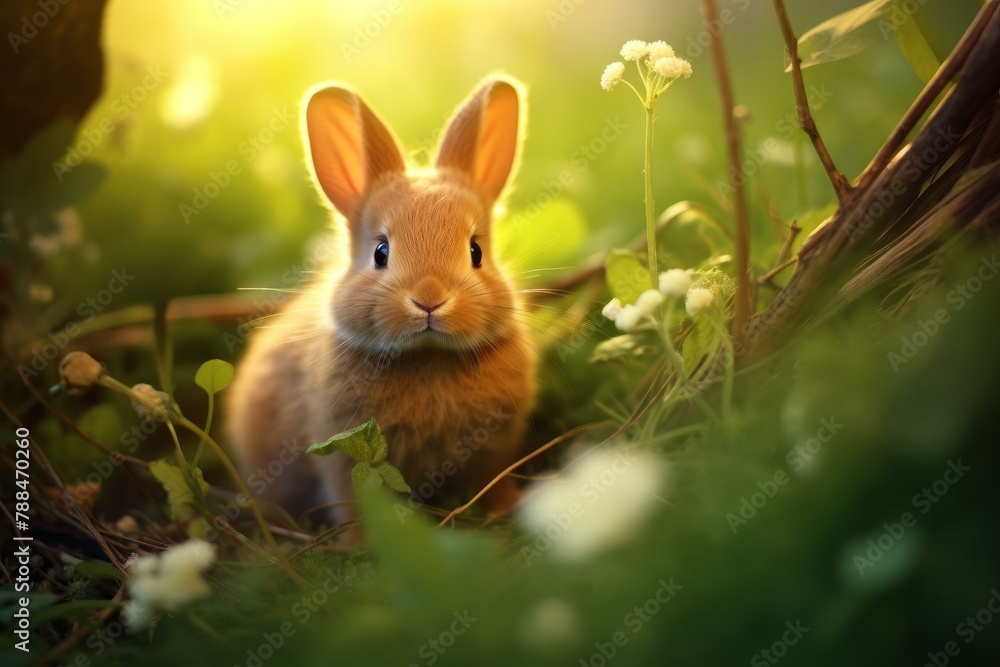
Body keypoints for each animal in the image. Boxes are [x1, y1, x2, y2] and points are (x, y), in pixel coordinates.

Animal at [226, 76, 537, 530]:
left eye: (476, 251)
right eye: (381, 252)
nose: (429, 300)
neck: (428, 356)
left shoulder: (494, 449)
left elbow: (493, 480)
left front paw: (507, 509)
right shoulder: (341, 453)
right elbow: (353, 502)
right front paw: (361, 544)